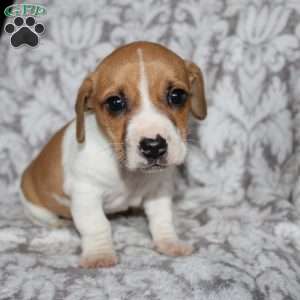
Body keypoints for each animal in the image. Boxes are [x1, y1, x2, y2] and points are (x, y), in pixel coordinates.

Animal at [21, 41, 206, 268]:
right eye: (115, 103)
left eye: (177, 96)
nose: (153, 146)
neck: (128, 173)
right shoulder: (86, 194)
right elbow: (97, 225)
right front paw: (99, 254)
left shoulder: (159, 190)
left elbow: (161, 219)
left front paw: (169, 242)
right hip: (33, 202)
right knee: (41, 217)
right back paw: (57, 224)